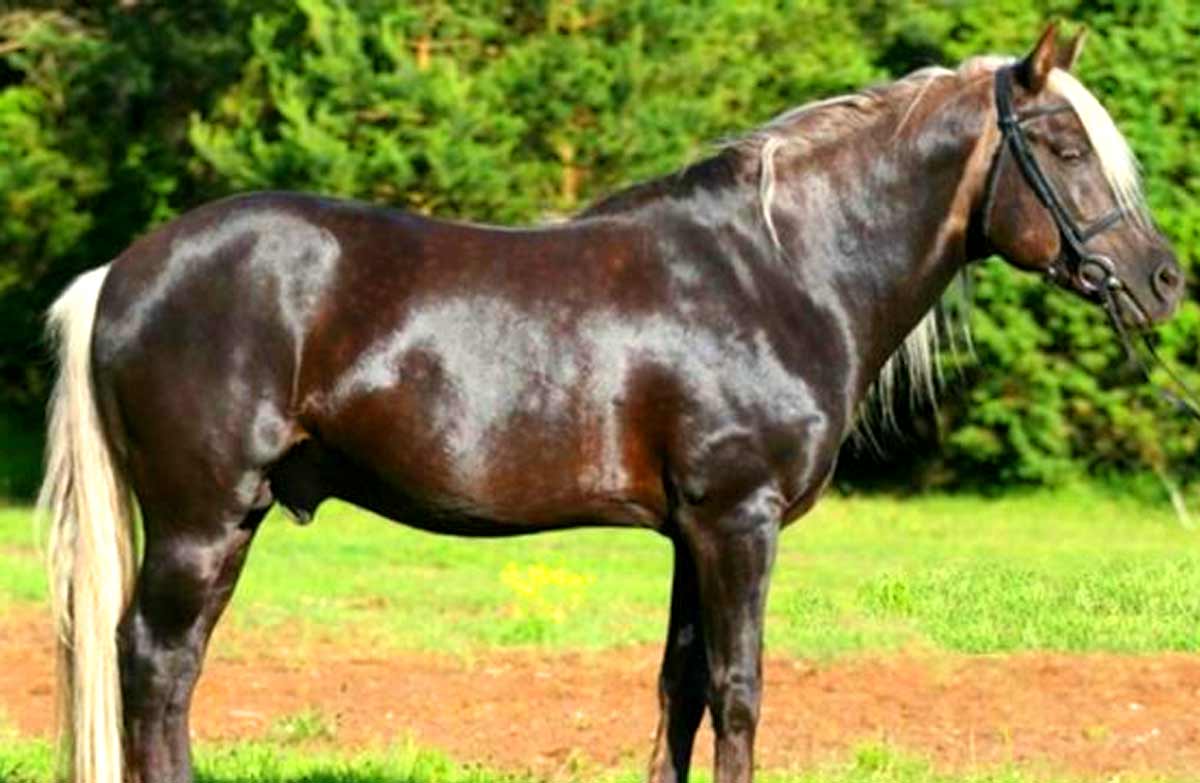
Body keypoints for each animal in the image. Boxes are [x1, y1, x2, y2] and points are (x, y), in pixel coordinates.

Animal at [37, 24, 1184, 783]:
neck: (776, 273)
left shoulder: (693, 531)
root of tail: (123, 272)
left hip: (228, 521)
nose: (1164, 279)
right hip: (202, 520)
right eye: (1065, 148)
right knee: (154, 665)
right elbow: (738, 690)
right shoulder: (739, 523)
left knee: (172, 670)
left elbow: (681, 691)